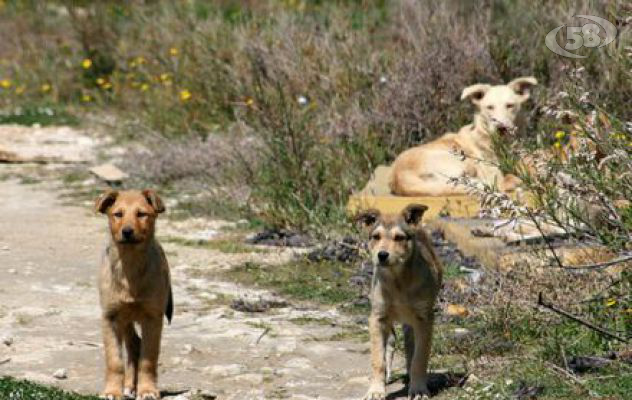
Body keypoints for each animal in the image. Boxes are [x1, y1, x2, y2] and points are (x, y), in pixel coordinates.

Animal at [94, 191, 173, 400]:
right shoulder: (110, 317)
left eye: (142, 214)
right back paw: (129, 386)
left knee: (136, 345)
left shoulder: (153, 317)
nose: (127, 232)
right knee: (133, 345)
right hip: (125, 319)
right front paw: (112, 391)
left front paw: (147, 390)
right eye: (118, 214)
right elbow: (114, 361)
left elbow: (148, 359)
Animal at [358, 205, 442, 398]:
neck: (398, 281)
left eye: (399, 237)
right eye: (376, 237)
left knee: (410, 346)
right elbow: (377, 359)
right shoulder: (377, 318)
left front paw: (418, 389)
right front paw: (376, 390)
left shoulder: (424, 319)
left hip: (411, 322)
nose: (382, 255)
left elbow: (420, 357)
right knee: (390, 342)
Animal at [390, 76, 540, 196]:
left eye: (510, 106)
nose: (501, 128)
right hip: (463, 161)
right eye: (489, 107)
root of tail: (399, 178)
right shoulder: (492, 172)